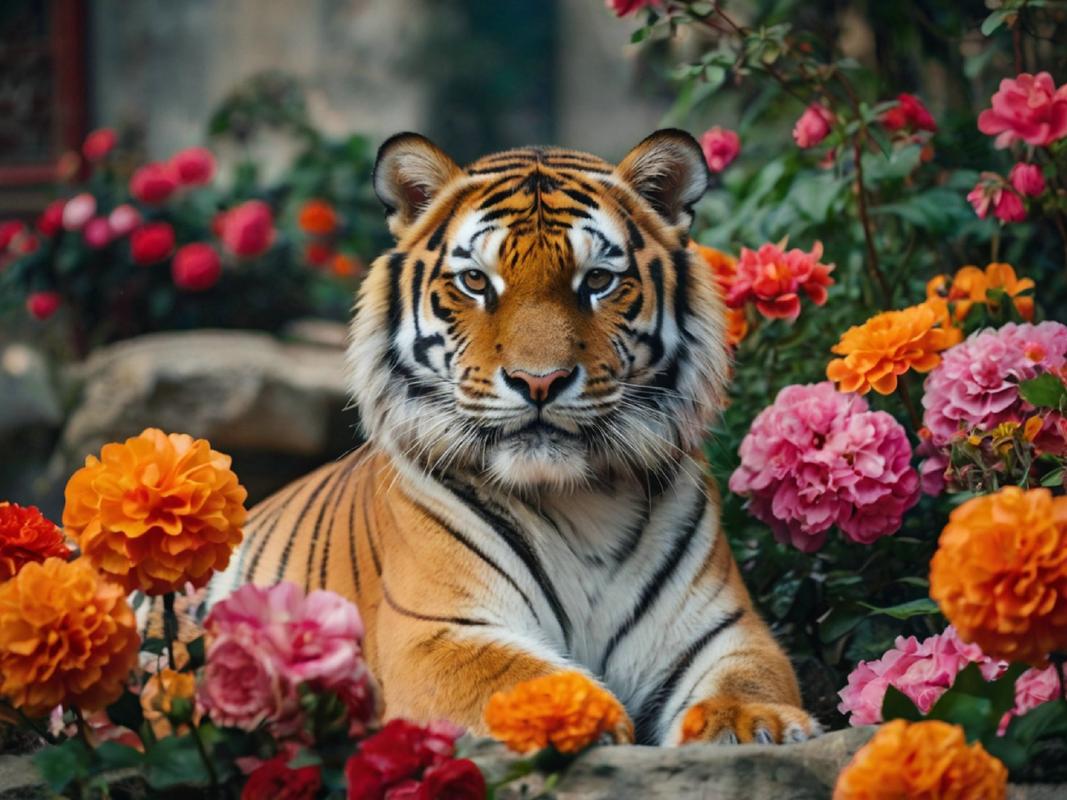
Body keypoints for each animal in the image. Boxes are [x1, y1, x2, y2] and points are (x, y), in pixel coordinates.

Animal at [207, 129, 821, 747]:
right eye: (476, 281)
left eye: (597, 280)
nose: (539, 381)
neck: (582, 502)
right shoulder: (436, 632)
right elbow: (517, 677)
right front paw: (579, 716)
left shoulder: (724, 631)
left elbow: (749, 679)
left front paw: (754, 724)